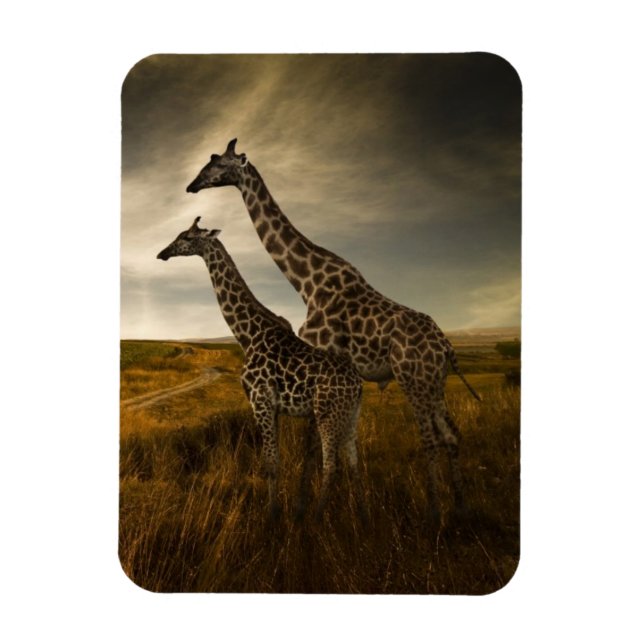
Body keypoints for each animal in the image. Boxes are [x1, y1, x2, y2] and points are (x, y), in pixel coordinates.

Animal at [157, 217, 363, 521]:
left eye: (186, 237)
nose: (163, 253)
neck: (247, 334)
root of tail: (358, 385)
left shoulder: (260, 401)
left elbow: (270, 463)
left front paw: (272, 516)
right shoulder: (273, 407)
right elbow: (273, 460)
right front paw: (276, 510)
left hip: (328, 414)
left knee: (331, 466)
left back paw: (316, 516)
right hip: (349, 416)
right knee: (353, 464)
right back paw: (361, 511)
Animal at [186, 139, 482, 521]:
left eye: (218, 164)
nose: (192, 186)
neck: (306, 281)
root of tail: (447, 347)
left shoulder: (322, 356)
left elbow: (313, 445)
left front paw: (305, 507)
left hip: (412, 378)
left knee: (429, 438)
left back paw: (433, 511)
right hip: (434, 382)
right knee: (451, 434)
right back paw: (460, 507)